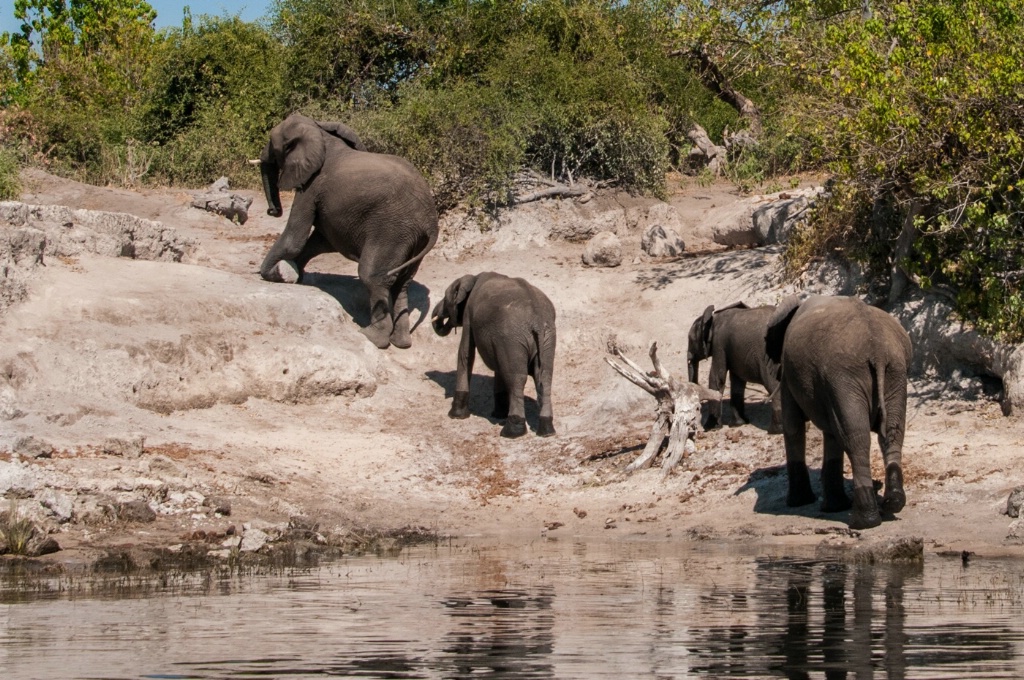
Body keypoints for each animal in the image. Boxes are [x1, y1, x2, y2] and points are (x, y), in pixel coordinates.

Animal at [258, 112, 438, 350]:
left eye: (272, 145)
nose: (272, 211)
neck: (320, 131)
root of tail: (431, 222)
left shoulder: (312, 187)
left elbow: (295, 238)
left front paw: (273, 274)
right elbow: (320, 241)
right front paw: (294, 274)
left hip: (392, 231)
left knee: (372, 276)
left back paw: (371, 337)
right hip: (412, 239)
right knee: (401, 283)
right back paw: (401, 343)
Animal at [432, 274, 561, 438]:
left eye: (445, 297)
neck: (473, 278)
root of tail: (537, 320)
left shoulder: (469, 314)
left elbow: (465, 353)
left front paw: (456, 416)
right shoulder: (499, 339)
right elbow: (499, 367)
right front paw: (498, 415)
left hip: (513, 338)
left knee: (517, 380)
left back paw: (511, 432)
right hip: (547, 337)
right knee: (544, 377)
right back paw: (546, 431)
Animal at [688, 303, 782, 436]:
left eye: (691, 341)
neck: (713, 318)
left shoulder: (719, 344)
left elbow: (717, 378)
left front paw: (711, 428)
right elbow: (737, 382)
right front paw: (738, 424)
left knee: (773, 386)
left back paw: (775, 431)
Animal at [765, 294, 917, 528]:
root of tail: (877, 349)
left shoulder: (791, 374)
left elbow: (793, 426)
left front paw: (798, 503)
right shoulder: (830, 386)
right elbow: (832, 433)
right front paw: (834, 507)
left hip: (848, 374)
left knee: (856, 439)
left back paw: (864, 521)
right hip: (893, 372)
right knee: (891, 432)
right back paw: (892, 504)